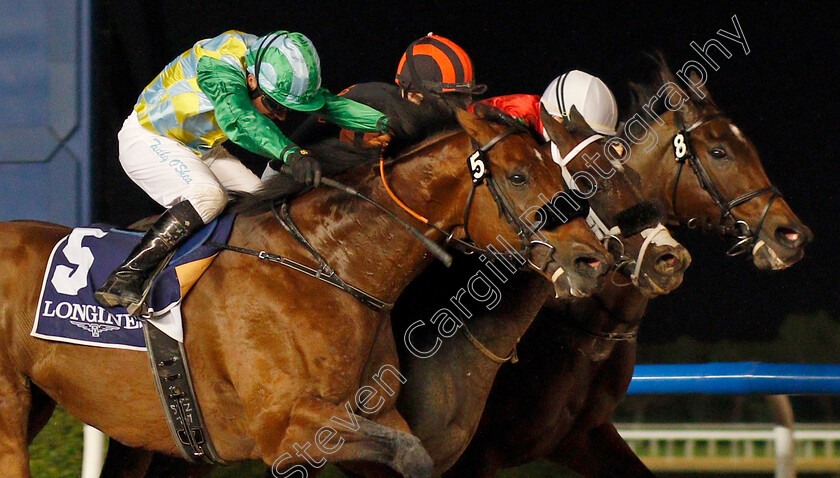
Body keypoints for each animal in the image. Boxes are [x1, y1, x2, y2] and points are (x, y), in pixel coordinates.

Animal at [0, 109, 612, 478]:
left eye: (556, 170)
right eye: (517, 176)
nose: (592, 259)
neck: (329, 268)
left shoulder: (368, 417)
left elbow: (405, 448)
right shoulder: (285, 427)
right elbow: (412, 456)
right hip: (10, 409)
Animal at [442, 57, 812, 478]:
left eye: (747, 146)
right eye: (720, 152)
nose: (792, 235)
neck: (581, 326)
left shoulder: (581, 435)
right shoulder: (475, 452)